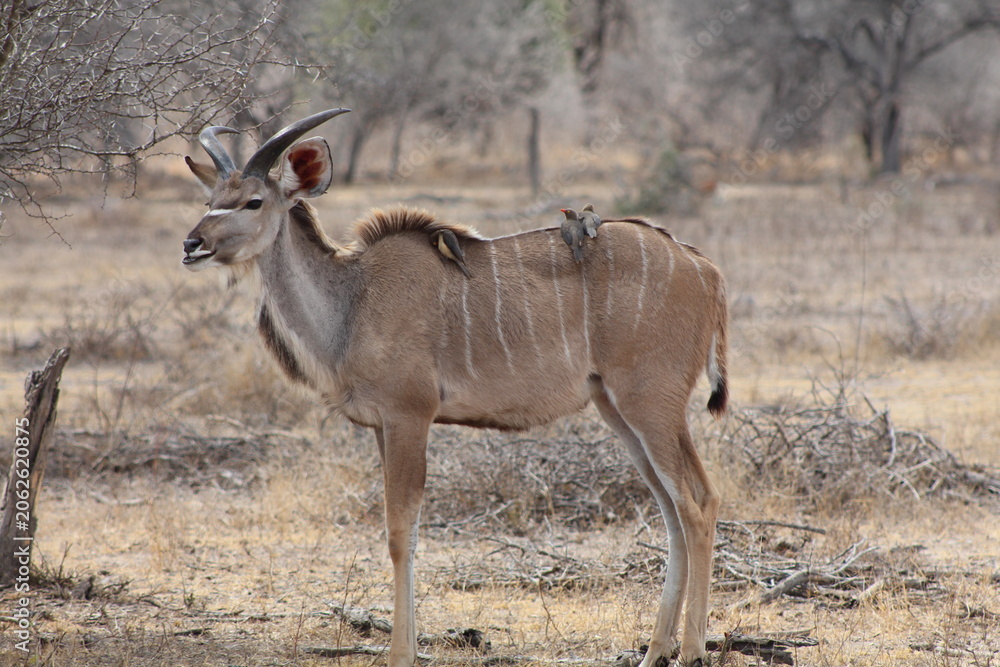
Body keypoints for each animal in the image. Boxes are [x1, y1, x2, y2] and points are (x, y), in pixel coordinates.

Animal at [182, 109, 729, 667]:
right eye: (210, 200)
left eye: (253, 201)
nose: (192, 245)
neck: (353, 299)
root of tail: (705, 270)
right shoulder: (382, 426)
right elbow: (405, 530)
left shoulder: (410, 416)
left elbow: (400, 531)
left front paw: (401, 654)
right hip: (618, 409)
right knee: (675, 508)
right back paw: (655, 650)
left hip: (650, 403)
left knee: (696, 505)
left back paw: (691, 650)